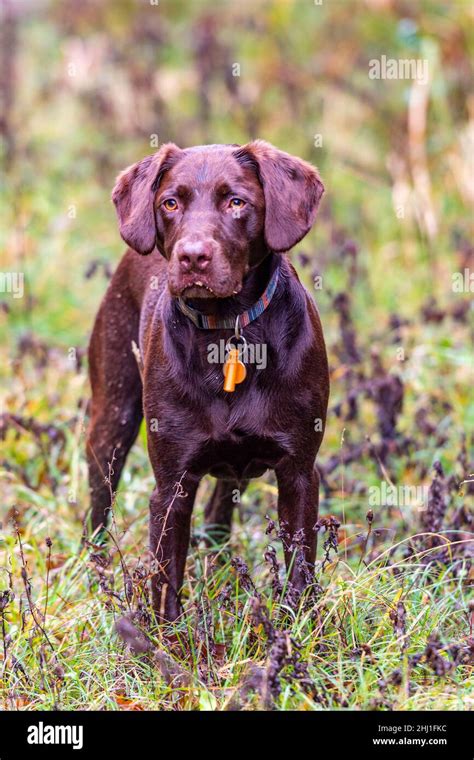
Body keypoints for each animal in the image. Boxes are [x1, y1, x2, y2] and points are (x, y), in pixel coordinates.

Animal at [86, 142, 330, 624]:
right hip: (113, 419)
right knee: (98, 506)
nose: (192, 257)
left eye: (236, 202)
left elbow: (299, 569)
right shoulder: (171, 487)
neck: (226, 329)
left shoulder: (298, 473)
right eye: (170, 203)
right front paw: (167, 641)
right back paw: (96, 574)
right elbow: (166, 581)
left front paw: (297, 631)